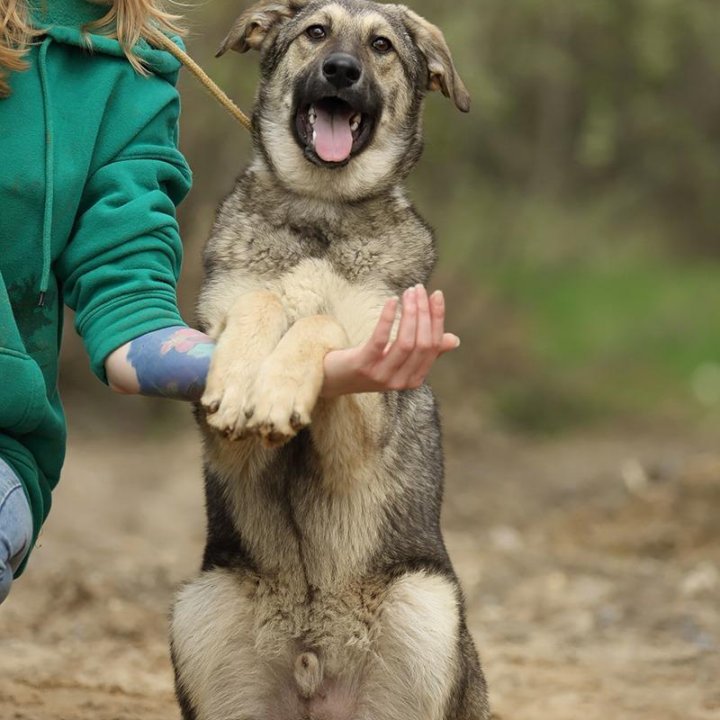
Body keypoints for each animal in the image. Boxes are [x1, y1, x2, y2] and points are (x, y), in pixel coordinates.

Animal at [172, 2, 492, 716]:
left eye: (381, 46)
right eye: (316, 32)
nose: (341, 71)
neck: (320, 211)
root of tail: (312, 659)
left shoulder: (362, 421)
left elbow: (319, 322)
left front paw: (277, 387)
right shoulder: (219, 432)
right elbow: (260, 303)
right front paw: (244, 379)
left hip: (428, 607)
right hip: (198, 607)